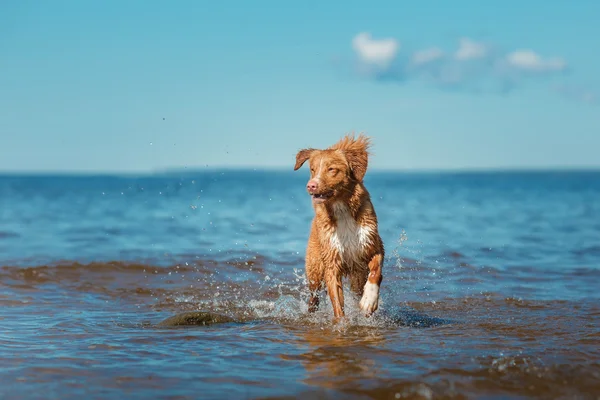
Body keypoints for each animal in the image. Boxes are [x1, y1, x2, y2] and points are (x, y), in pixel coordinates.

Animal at [294, 134, 384, 318]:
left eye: (331, 169)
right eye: (313, 169)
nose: (311, 185)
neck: (342, 209)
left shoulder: (373, 245)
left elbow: (376, 271)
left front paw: (369, 300)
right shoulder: (332, 261)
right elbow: (337, 303)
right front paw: (342, 322)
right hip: (315, 268)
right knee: (314, 297)